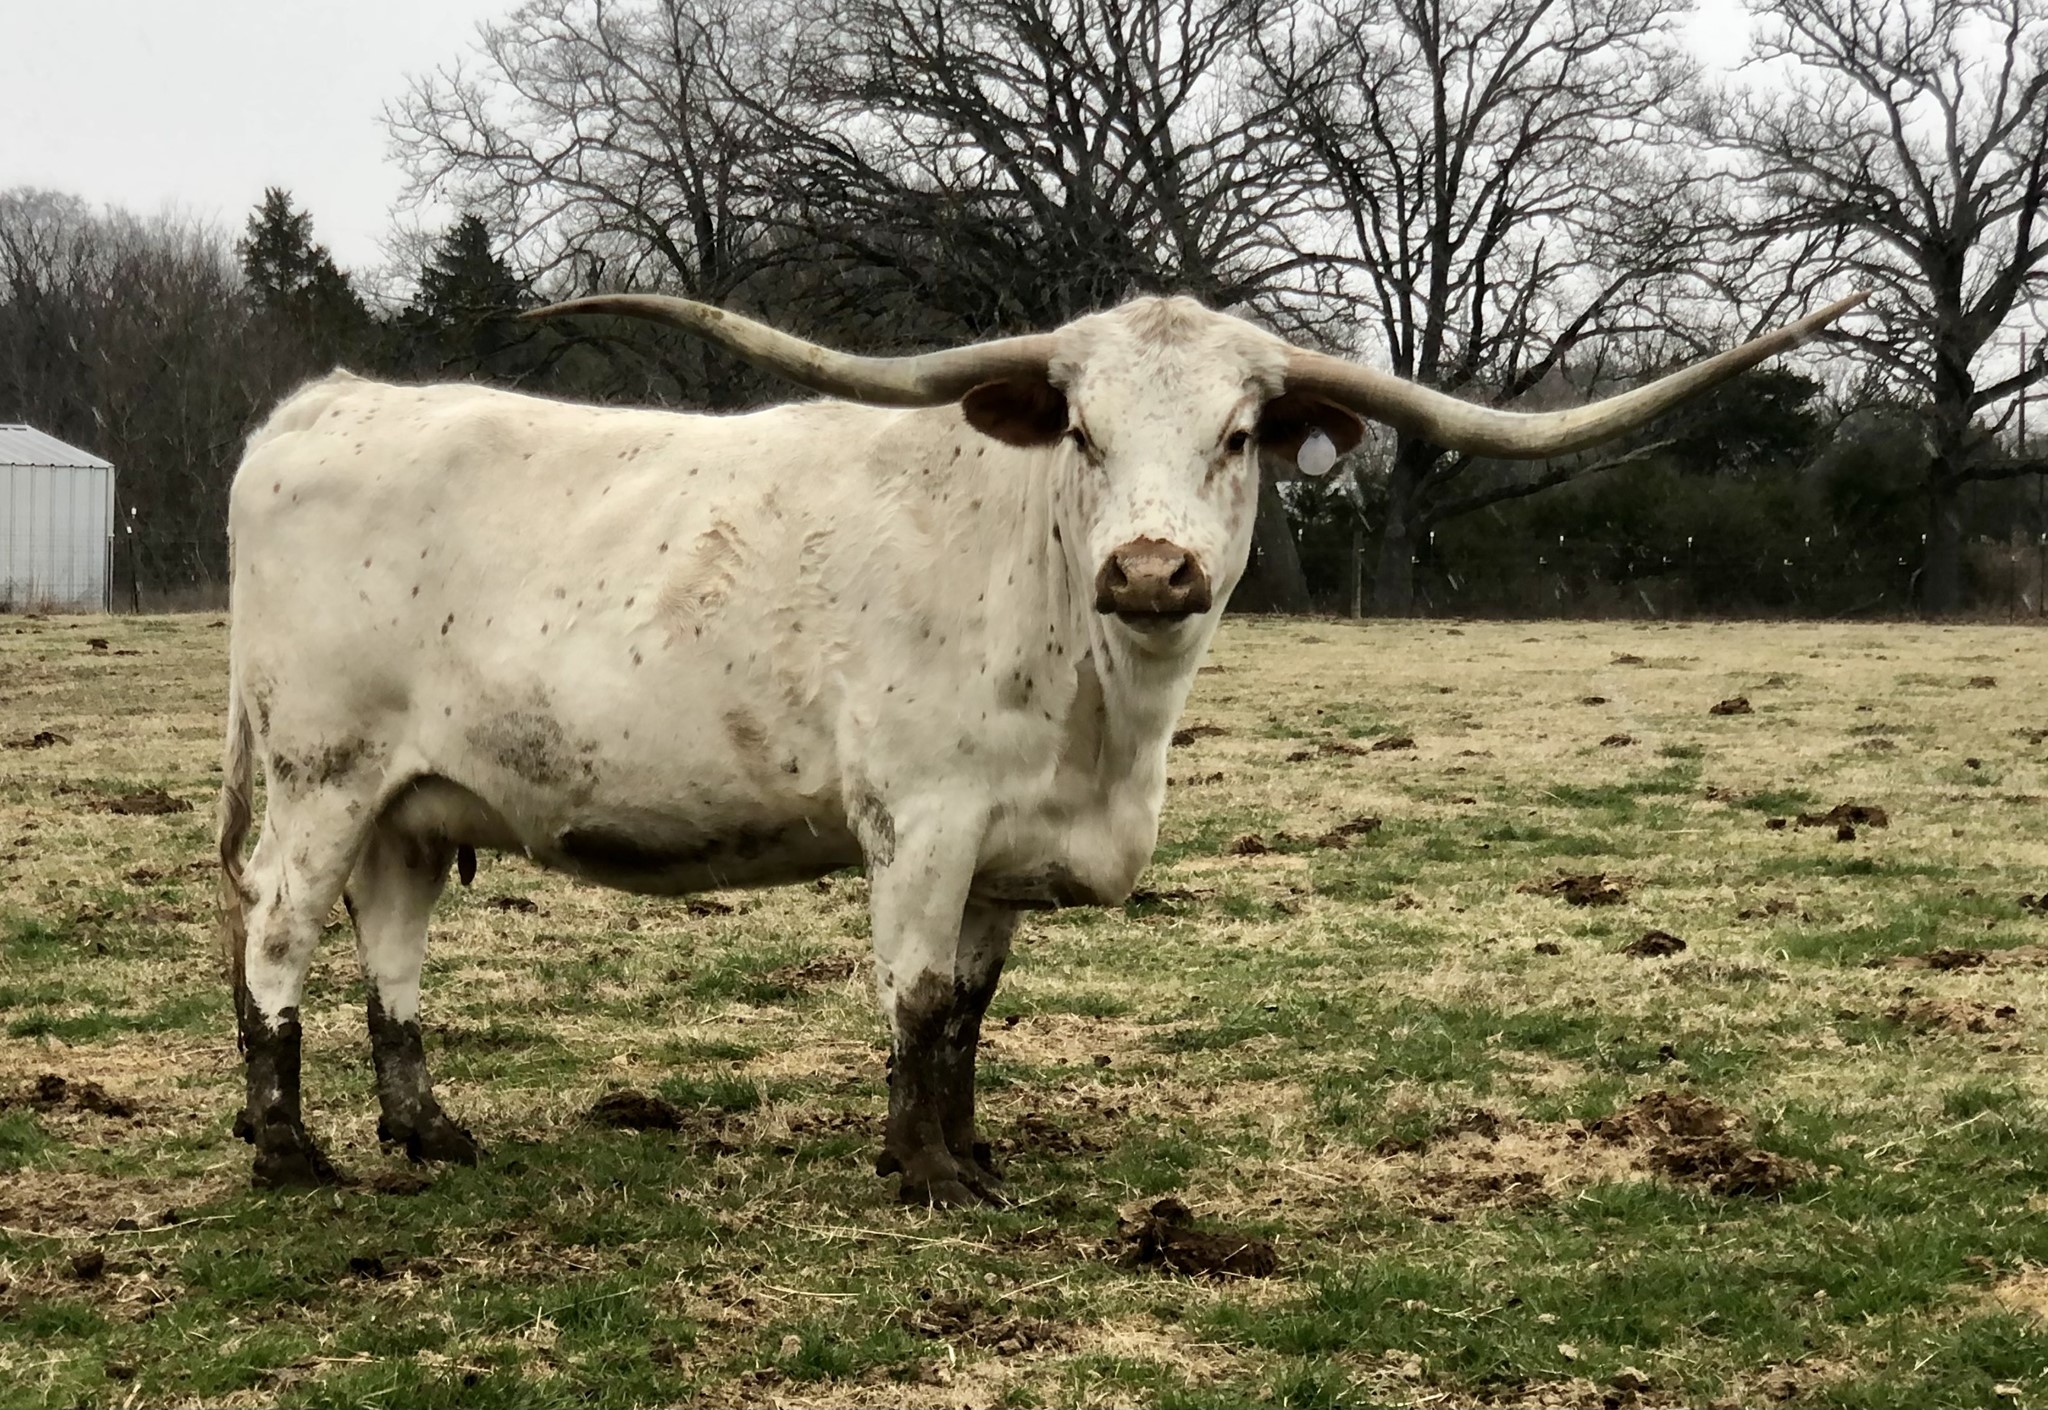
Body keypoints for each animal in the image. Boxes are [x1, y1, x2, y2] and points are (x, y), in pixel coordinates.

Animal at [217, 290, 1862, 1204]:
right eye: (1078, 429)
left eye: (1240, 434)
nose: (1149, 570)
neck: (1102, 718)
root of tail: (321, 407)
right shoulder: (919, 826)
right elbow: (911, 996)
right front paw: (922, 1175)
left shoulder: (1005, 857)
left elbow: (966, 1015)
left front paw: (974, 1149)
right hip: (320, 773)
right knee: (275, 935)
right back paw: (287, 1150)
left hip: (415, 801)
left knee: (392, 947)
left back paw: (428, 1131)